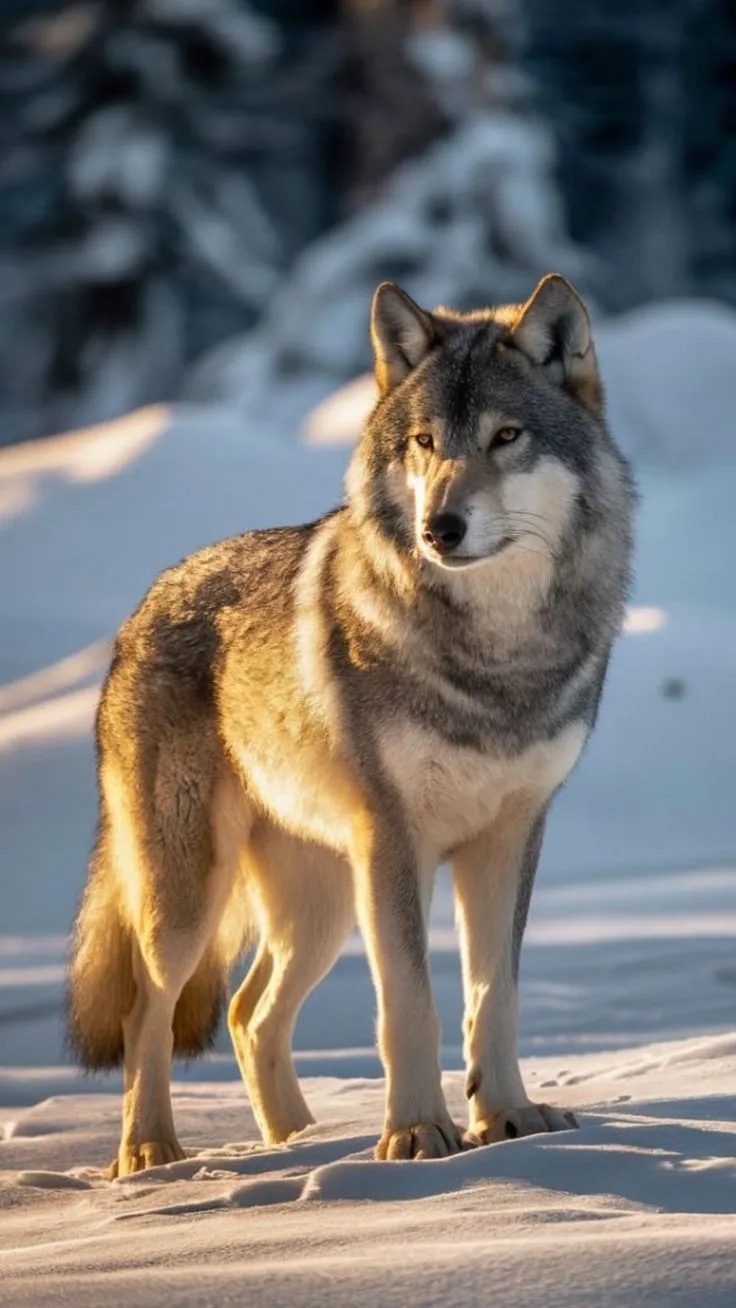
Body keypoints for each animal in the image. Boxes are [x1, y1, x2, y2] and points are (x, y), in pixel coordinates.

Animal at [68, 274, 634, 1177]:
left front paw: (508, 1119)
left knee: (248, 1014)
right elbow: (410, 1002)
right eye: (424, 443)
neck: (496, 659)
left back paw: (300, 1143)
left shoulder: (509, 838)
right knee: (145, 1013)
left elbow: (494, 996)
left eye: (506, 436)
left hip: (323, 904)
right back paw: (151, 1152)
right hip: (193, 898)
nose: (441, 527)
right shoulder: (397, 843)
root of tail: (141, 607)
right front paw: (417, 1134)